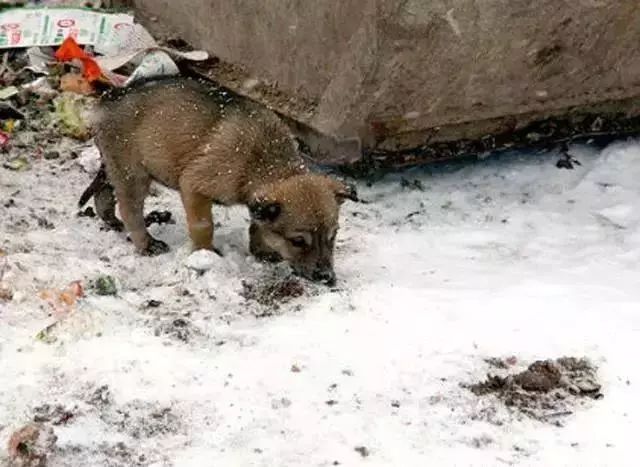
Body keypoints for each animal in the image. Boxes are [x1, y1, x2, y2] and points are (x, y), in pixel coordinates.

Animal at [79, 77, 356, 286]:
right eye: (297, 241)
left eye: (332, 237)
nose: (327, 278)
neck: (262, 160)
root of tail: (108, 98)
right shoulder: (194, 185)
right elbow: (204, 226)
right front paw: (205, 254)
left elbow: (258, 224)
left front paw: (262, 251)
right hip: (133, 173)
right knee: (130, 209)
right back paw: (146, 243)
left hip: (116, 167)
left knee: (104, 192)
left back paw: (110, 220)